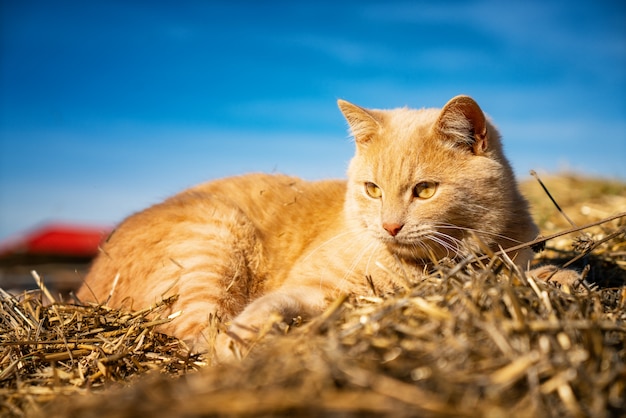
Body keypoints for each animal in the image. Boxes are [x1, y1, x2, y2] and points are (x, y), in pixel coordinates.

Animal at [77, 94, 556, 360]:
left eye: (424, 191)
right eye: (372, 189)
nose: (390, 226)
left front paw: (557, 275)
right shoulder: (311, 285)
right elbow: (267, 307)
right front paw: (245, 340)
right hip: (214, 235)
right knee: (193, 331)